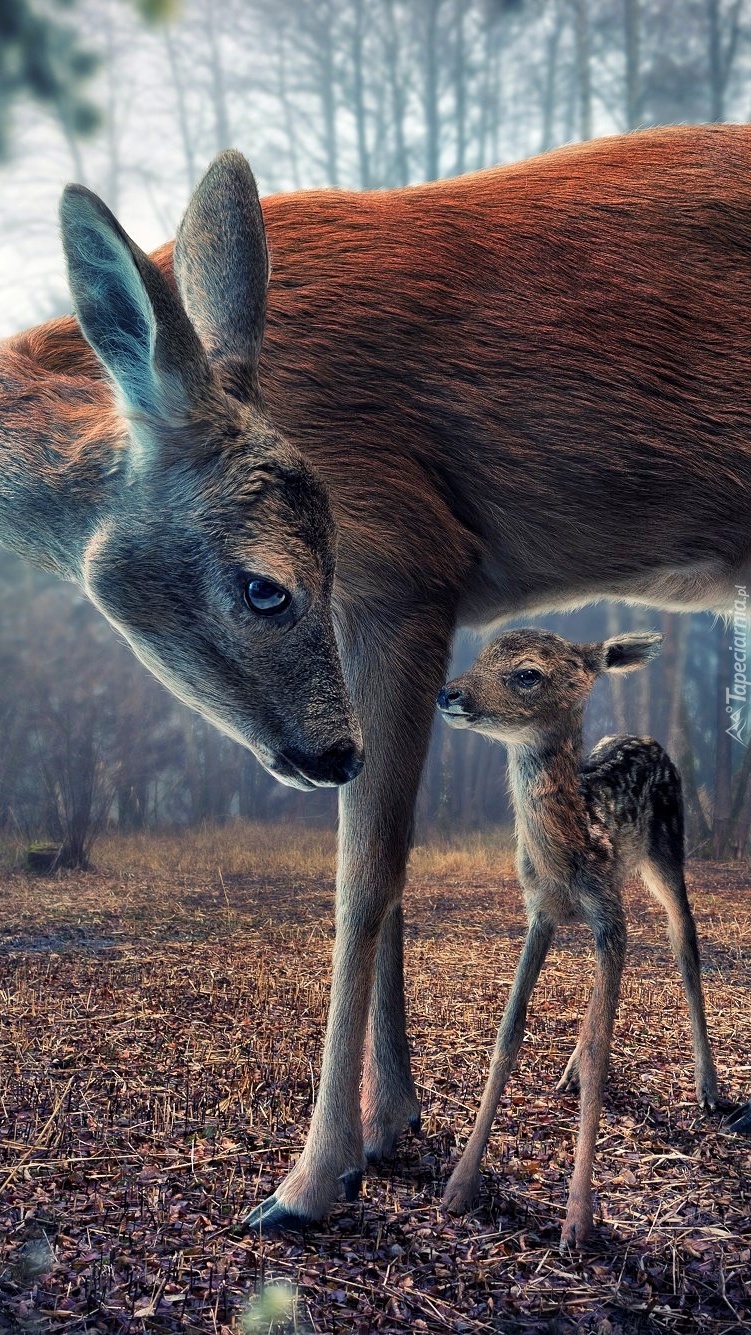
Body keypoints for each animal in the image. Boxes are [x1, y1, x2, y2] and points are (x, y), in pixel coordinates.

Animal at [0, 125, 746, 1238]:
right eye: (268, 587)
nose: (328, 751)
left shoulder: (409, 561)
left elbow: (366, 875)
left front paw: (309, 1181)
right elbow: (389, 862)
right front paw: (391, 1126)